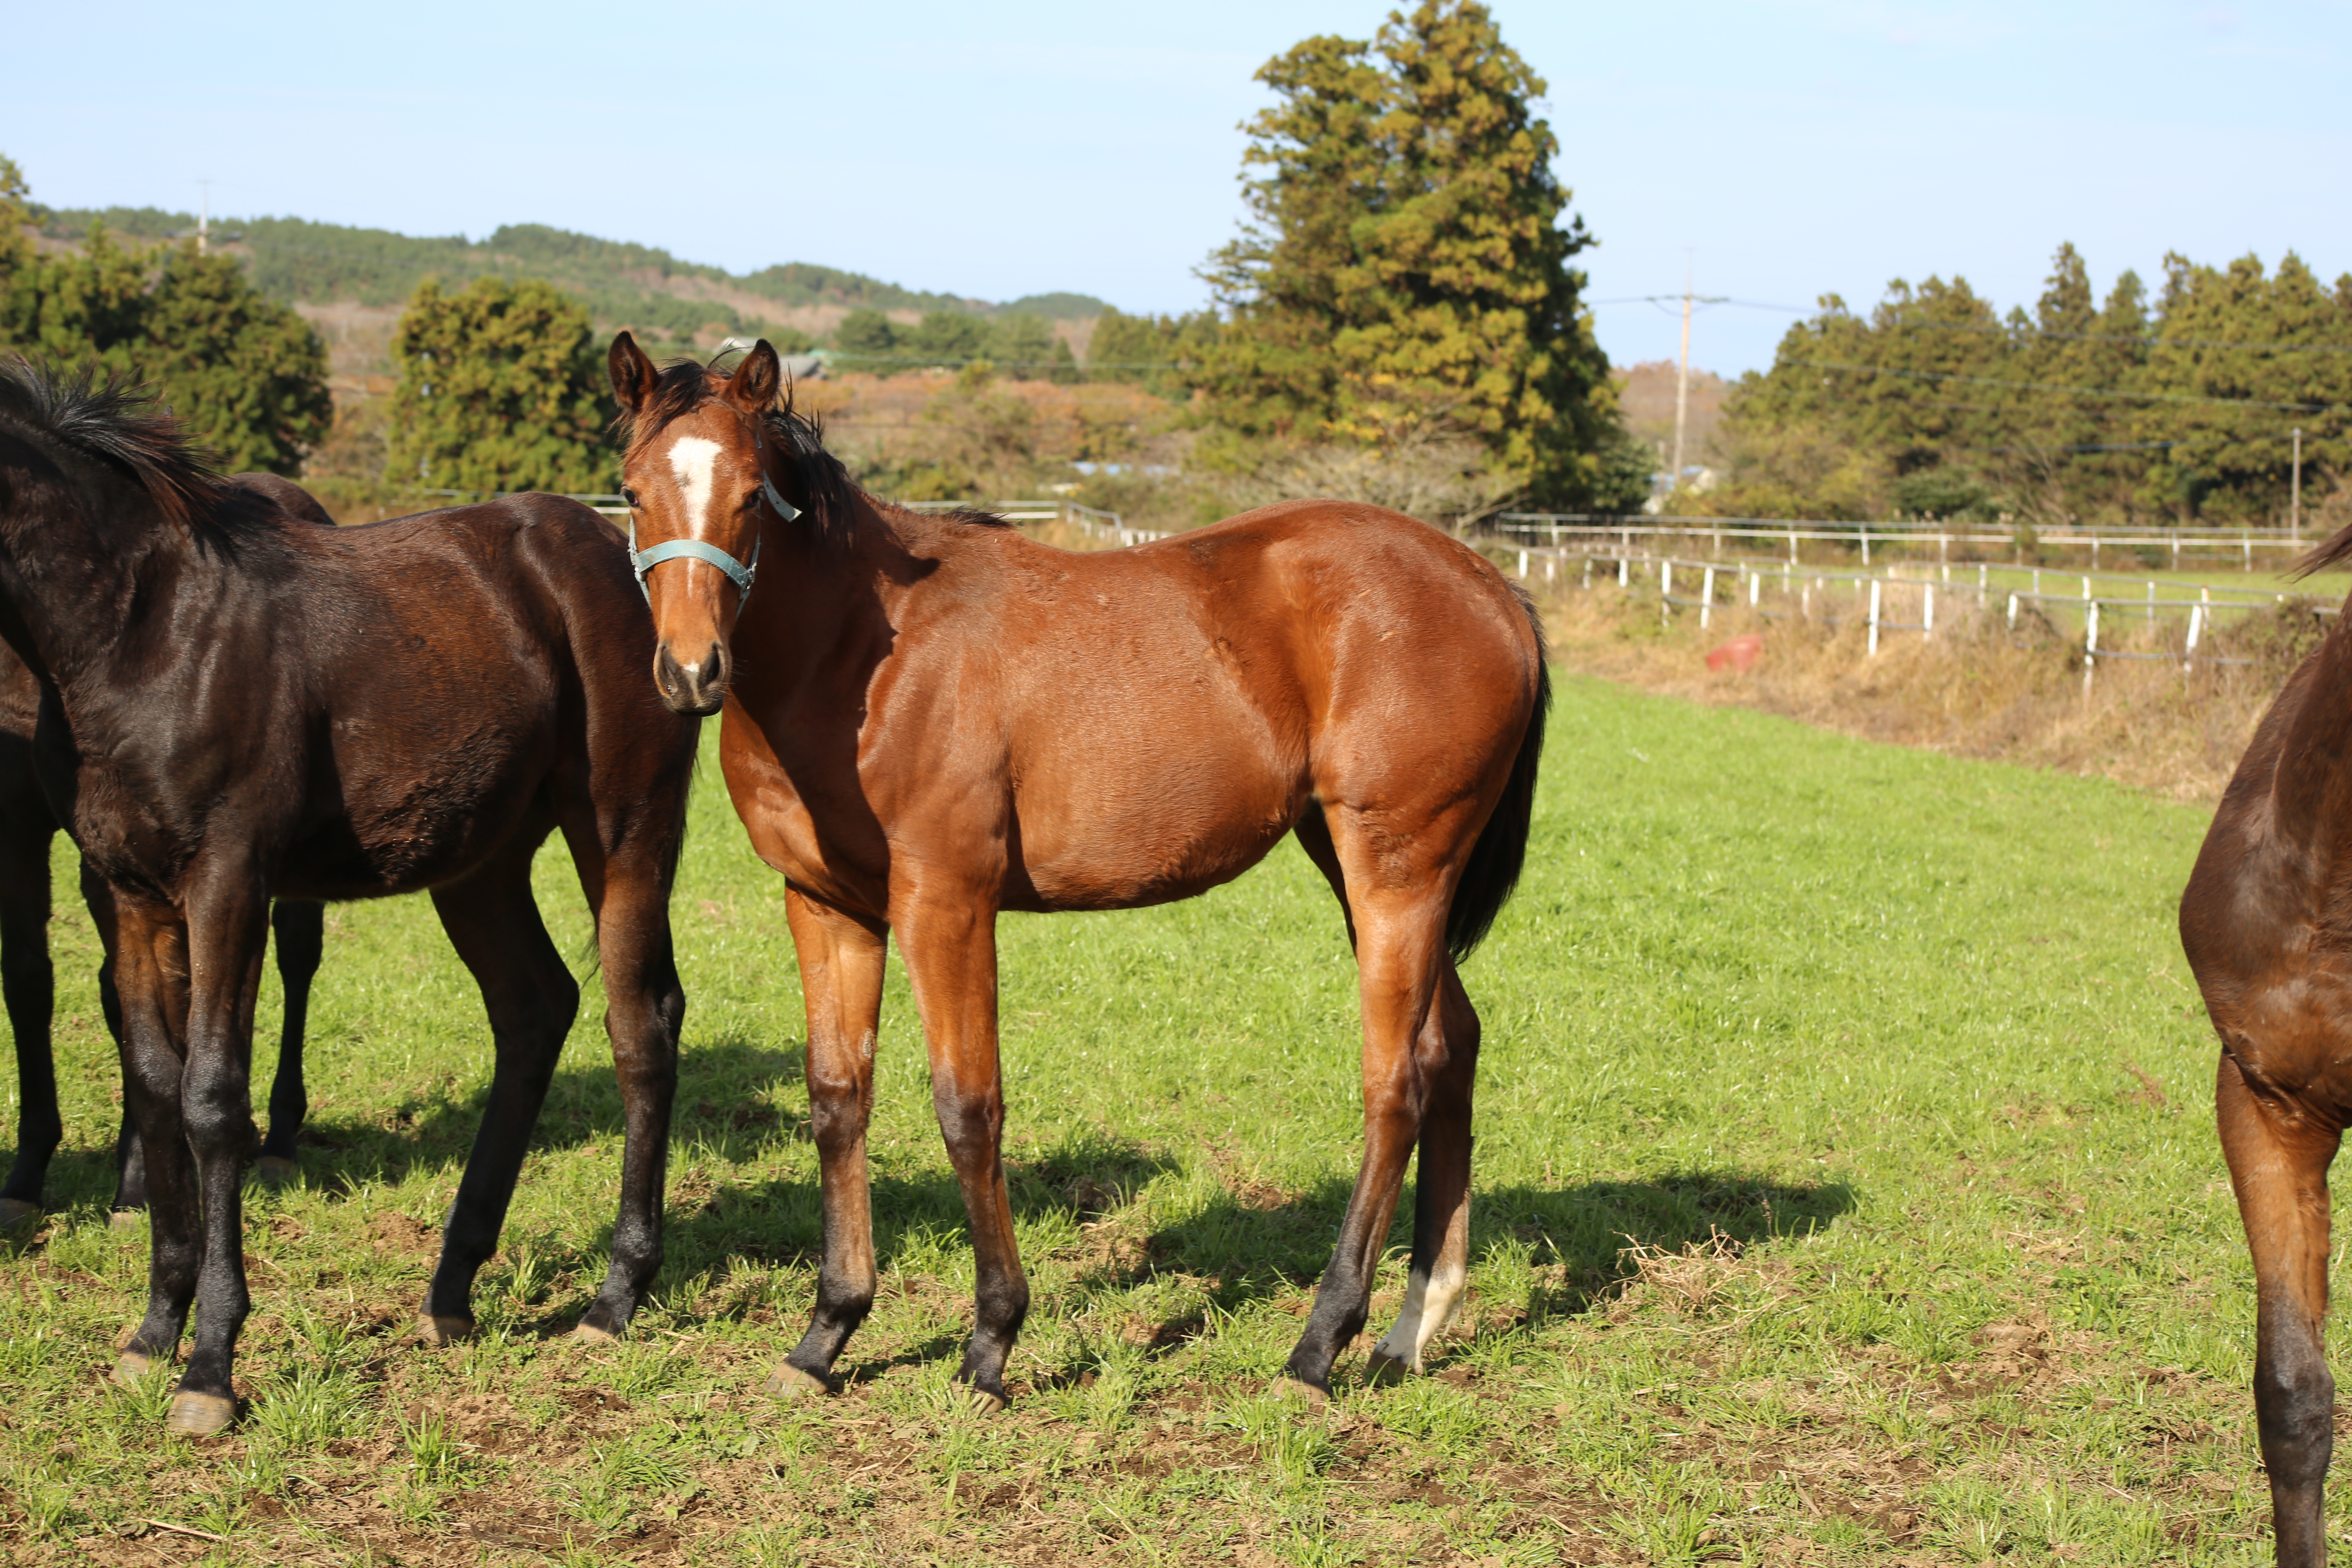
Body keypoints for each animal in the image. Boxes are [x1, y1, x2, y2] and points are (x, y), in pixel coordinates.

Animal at [0, 364, 696, 1439]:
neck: (139, 629)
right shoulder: (128, 893)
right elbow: (153, 1085)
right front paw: (153, 1331)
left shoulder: (228, 880)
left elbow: (212, 1100)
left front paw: (210, 1365)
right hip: (480, 864)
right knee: (534, 1008)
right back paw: (451, 1290)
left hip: (625, 834)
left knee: (641, 1024)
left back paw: (613, 1298)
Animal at [616, 334, 1552, 1410]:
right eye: (633, 490)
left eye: (747, 494)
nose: (691, 672)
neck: (866, 655)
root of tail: (1490, 587)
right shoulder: (826, 904)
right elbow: (836, 1096)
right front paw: (826, 1335)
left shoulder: (946, 903)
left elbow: (967, 1106)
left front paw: (990, 1342)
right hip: (1367, 871)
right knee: (1449, 1048)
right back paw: (1410, 1328)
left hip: (1396, 872)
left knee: (1393, 1082)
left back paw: (1319, 1346)